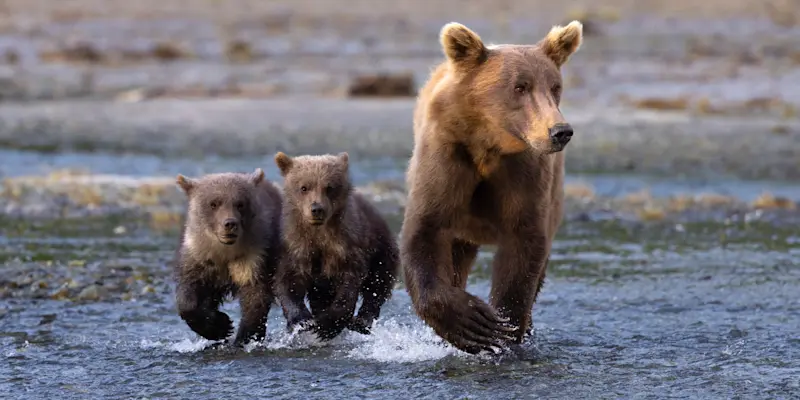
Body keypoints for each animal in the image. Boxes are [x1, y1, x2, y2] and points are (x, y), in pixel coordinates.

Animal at [173, 168, 283, 346]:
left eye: (240, 203)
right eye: (213, 203)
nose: (230, 223)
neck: (224, 253)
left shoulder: (254, 257)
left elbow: (256, 297)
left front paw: (243, 337)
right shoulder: (198, 257)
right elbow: (188, 293)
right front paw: (219, 326)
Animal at [273, 151, 399, 340]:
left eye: (329, 187)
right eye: (304, 187)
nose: (317, 209)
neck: (319, 233)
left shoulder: (346, 247)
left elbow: (349, 285)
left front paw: (326, 326)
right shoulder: (295, 247)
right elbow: (288, 282)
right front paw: (302, 321)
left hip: (382, 248)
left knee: (377, 285)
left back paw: (361, 321)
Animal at [399, 20, 584, 354]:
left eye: (555, 86)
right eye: (520, 86)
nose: (559, 131)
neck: (488, 146)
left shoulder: (524, 174)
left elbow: (523, 247)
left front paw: (503, 332)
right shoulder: (446, 157)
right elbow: (424, 230)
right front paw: (470, 322)